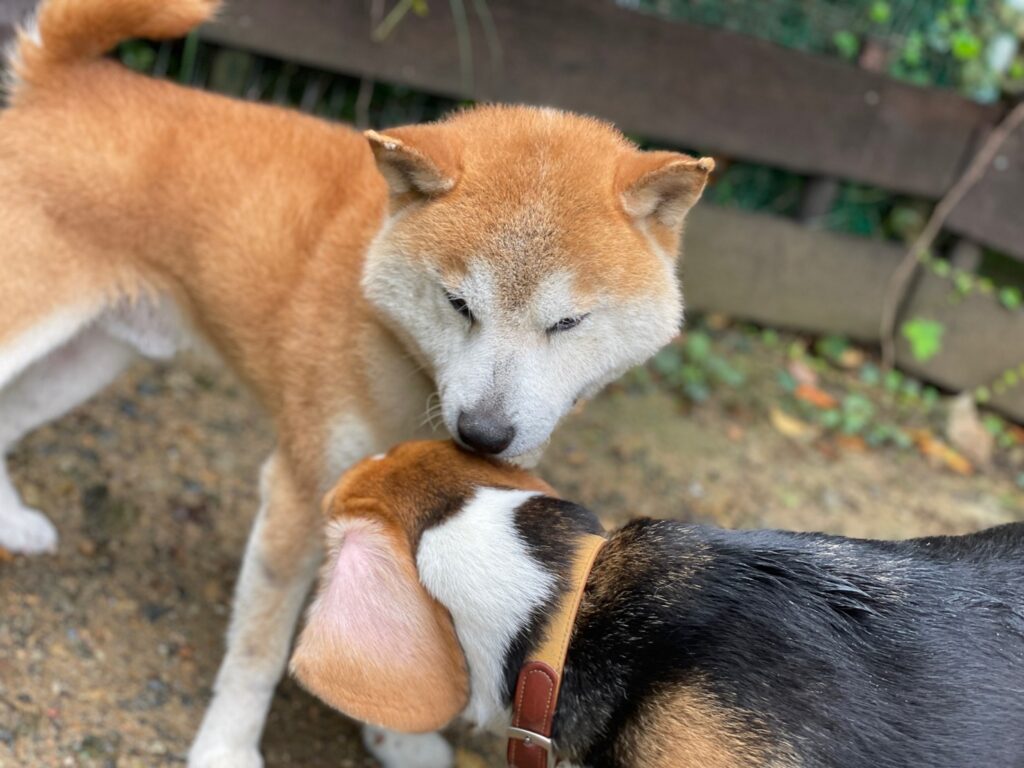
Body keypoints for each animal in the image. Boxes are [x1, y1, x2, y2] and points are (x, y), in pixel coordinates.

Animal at [0, 0, 713, 764]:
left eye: (568, 322)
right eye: (459, 303)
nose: (484, 433)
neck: (411, 373)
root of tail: (61, 77)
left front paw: (400, 740)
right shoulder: (298, 489)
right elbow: (257, 651)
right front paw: (227, 747)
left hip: (91, 356)